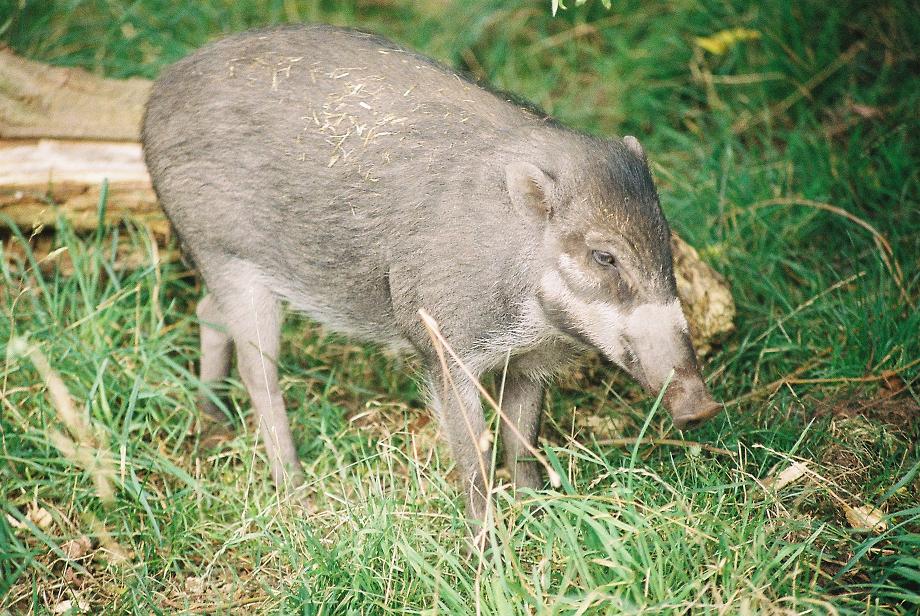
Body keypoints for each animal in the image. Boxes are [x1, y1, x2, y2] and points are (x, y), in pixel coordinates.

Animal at [142, 24, 722, 523]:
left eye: (664, 239)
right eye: (604, 256)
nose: (702, 406)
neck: (530, 309)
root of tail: (155, 96)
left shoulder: (532, 362)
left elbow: (524, 441)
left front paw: (539, 514)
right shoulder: (443, 342)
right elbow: (474, 456)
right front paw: (488, 549)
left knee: (206, 311)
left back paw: (213, 419)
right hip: (225, 256)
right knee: (258, 370)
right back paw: (296, 493)